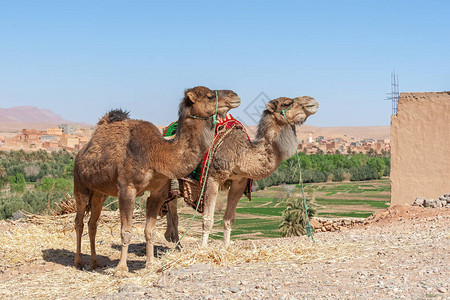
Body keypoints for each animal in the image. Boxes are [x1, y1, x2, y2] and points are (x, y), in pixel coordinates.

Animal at [74, 85, 241, 276]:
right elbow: (126, 231)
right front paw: (121, 269)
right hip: (80, 186)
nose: (235, 96)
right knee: (79, 222)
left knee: (92, 224)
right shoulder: (127, 189)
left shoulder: (158, 192)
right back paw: (78, 262)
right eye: (210, 96)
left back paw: (95, 262)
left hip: (99, 193)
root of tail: (81, 153)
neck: (157, 154)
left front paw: (150, 264)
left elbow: (150, 230)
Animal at [164, 95, 316, 246]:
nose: (312, 101)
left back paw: (174, 242)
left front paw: (226, 247)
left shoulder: (240, 182)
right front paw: (203, 248)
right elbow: (207, 220)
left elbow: (228, 220)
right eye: (287, 103)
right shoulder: (212, 178)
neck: (240, 155)